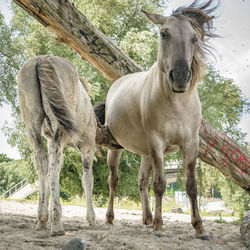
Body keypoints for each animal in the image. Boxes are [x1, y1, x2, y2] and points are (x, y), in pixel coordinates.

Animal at [17, 55, 95, 235]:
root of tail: (42, 59)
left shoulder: (49, 139)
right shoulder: (88, 147)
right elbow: (87, 179)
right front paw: (91, 218)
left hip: (32, 123)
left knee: (42, 162)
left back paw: (42, 219)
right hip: (60, 129)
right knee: (55, 167)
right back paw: (57, 222)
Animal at [95, 0, 219, 240]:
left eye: (194, 38)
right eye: (163, 34)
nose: (180, 76)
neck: (176, 103)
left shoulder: (191, 145)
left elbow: (191, 185)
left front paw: (199, 227)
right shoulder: (157, 143)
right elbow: (160, 184)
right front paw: (160, 226)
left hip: (145, 152)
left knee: (142, 181)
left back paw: (147, 217)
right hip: (117, 149)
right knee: (113, 181)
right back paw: (111, 217)